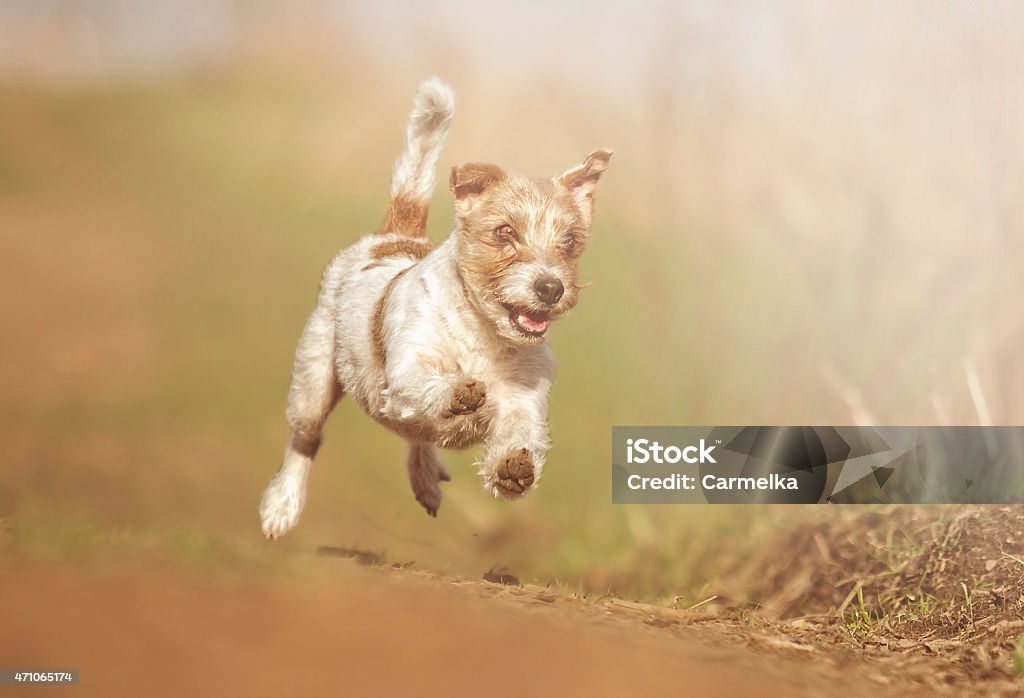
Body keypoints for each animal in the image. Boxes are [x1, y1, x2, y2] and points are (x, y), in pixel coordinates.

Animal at [258, 77, 606, 536]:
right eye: (505, 232)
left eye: (570, 242)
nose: (551, 287)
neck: (484, 334)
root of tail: (396, 234)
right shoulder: (406, 369)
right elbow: (428, 383)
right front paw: (458, 392)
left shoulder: (524, 396)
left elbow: (519, 427)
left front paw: (513, 467)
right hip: (314, 379)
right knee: (307, 438)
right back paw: (283, 505)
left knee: (416, 434)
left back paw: (426, 478)